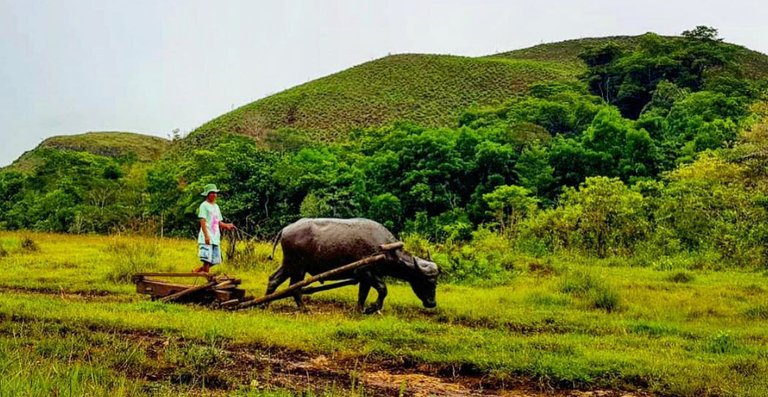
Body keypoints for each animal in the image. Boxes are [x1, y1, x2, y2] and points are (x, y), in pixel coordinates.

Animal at [268, 217, 438, 312]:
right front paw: (372, 308)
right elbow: (383, 289)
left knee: (273, 279)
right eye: (425, 281)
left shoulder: (365, 278)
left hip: (289, 265)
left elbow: (362, 294)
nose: (432, 303)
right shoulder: (366, 272)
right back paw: (304, 309)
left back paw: (265, 304)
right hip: (298, 267)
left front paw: (360, 310)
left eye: (435, 282)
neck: (385, 249)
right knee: (295, 287)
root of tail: (285, 229)